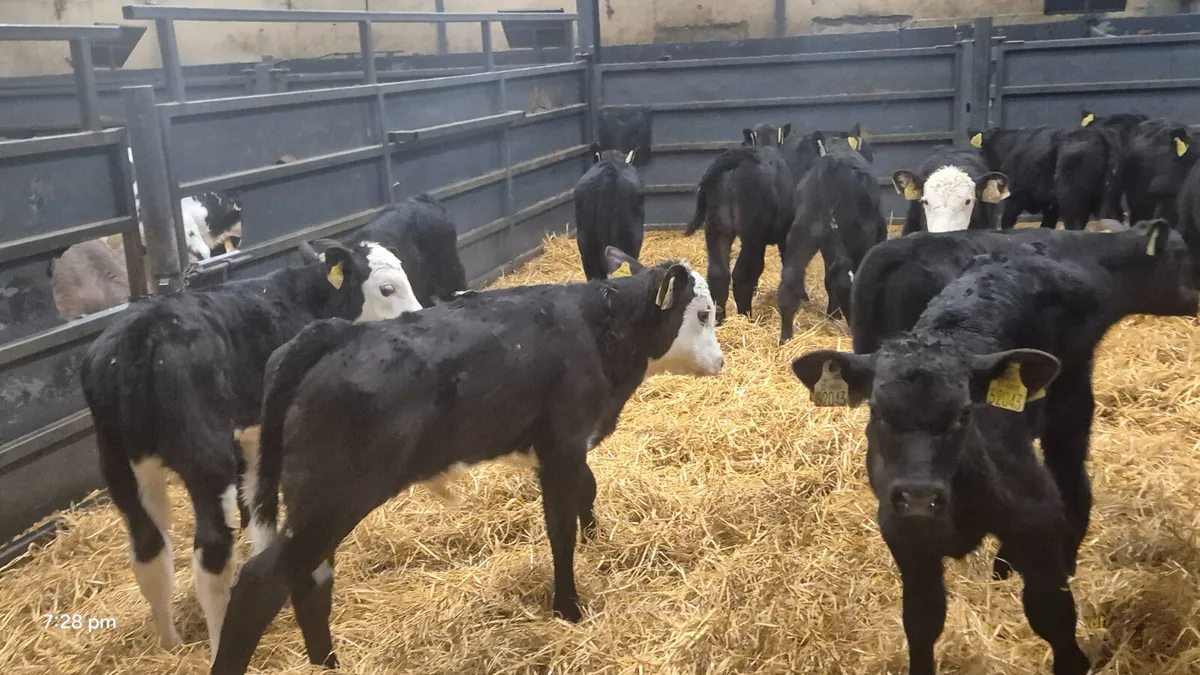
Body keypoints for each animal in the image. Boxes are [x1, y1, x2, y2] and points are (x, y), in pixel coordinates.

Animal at [79, 239, 422, 662]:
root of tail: (143, 334)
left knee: (149, 549)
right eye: (387, 288)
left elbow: (257, 504)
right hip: (206, 458)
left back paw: (170, 645)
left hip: (120, 462)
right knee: (211, 554)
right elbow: (266, 507)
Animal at [209, 246, 724, 674]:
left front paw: (597, 538)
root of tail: (332, 334)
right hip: (333, 497)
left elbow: (587, 489)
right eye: (703, 313)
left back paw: (329, 666)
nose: (719, 362)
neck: (601, 326)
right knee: (260, 584)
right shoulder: (562, 444)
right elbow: (560, 530)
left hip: (317, 505)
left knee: (310, 581)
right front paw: (568, 608)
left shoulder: (566, 445)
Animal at [685, 143, 794, 324]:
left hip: (717, 228)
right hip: (753, 236)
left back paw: (719, 320)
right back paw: (746, 317)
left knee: (718, 274)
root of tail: (735, 158)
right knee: (744, 274)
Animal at [791, 243, 1195, 675]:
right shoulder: (904, 536)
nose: (919, 496)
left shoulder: (1036, 520)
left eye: (964, 413)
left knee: (1072, 478)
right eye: (878, 412)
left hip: (1071, 397)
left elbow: (1052, 614)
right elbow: (921, 619)